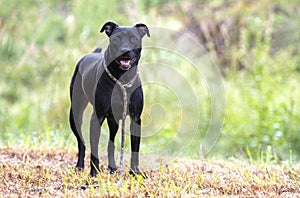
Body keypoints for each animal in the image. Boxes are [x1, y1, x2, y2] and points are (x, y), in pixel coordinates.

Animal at [69, 22, 150, 176]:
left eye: (134, 38)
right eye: (116, 39)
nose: (125, 51)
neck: (122, 79)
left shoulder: (135, 119)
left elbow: (135, 149)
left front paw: (135, 172)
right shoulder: (97, 117)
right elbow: (94, 150)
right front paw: (94, 173)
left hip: (114, 121)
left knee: (110, 143)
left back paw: (112, 167)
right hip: (75, 114)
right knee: (81, 142)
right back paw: (80, 165)